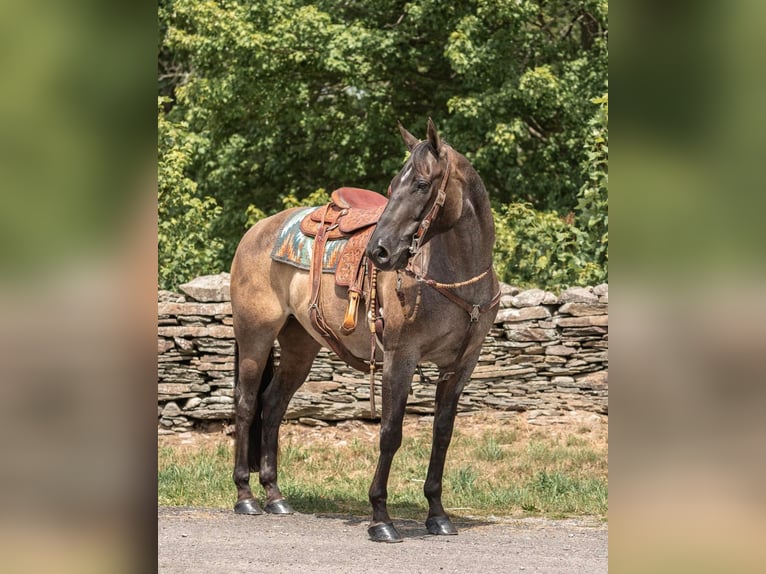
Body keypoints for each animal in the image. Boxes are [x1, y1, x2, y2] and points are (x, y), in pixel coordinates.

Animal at [231, 119, 500, 544]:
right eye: (391, 186)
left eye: (421, 184)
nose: (379, 251)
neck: (454, 280)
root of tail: (255, 231)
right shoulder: (399, 358)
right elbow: (390, 433)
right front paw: (381, 518)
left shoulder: (461, 366)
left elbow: (442, 433)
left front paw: (437, 514)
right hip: (255, 336)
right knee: (246, 404)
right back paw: (245, 496)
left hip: (299, 345)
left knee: (272, 405)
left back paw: (275, 496)